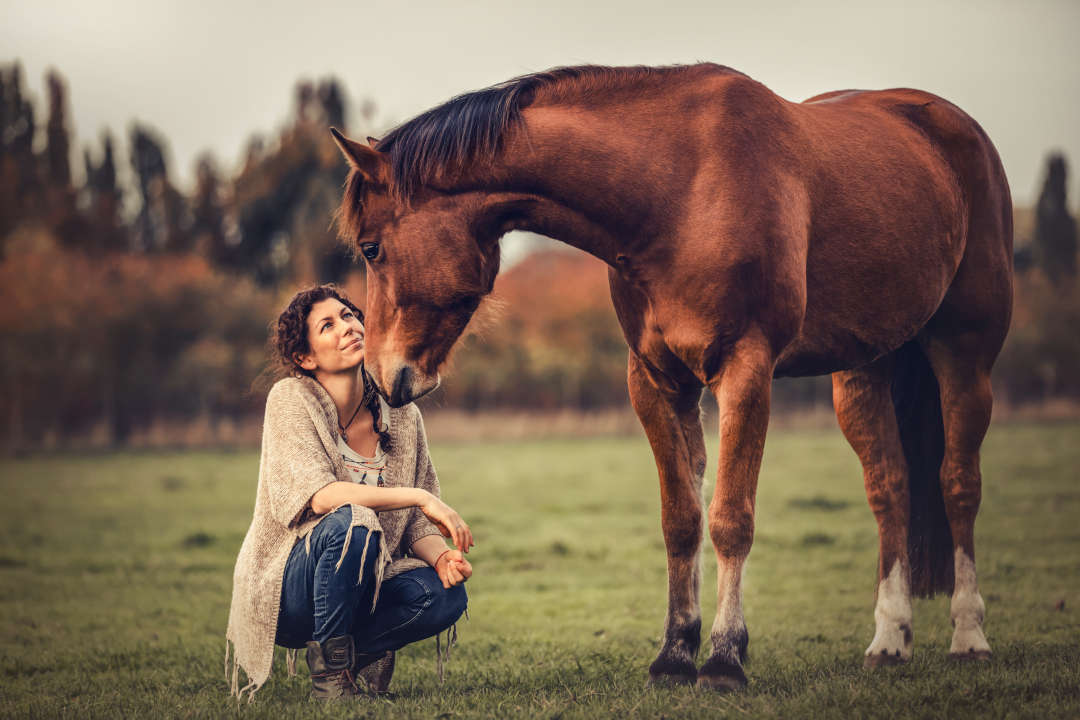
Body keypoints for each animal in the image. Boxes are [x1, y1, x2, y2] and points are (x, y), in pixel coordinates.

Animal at [328, 64, 1010, 690]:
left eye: (371, 248)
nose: (383, 374)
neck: (678, 192)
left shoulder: (745, 371)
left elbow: (731, 519)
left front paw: (726, 659)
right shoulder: (657, 381)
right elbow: (681, 519)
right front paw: (676, 653)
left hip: (964, 353)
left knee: (958, 484)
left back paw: (970, 637)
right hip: (864, 370)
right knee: (890, 489)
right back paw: (890, 639)